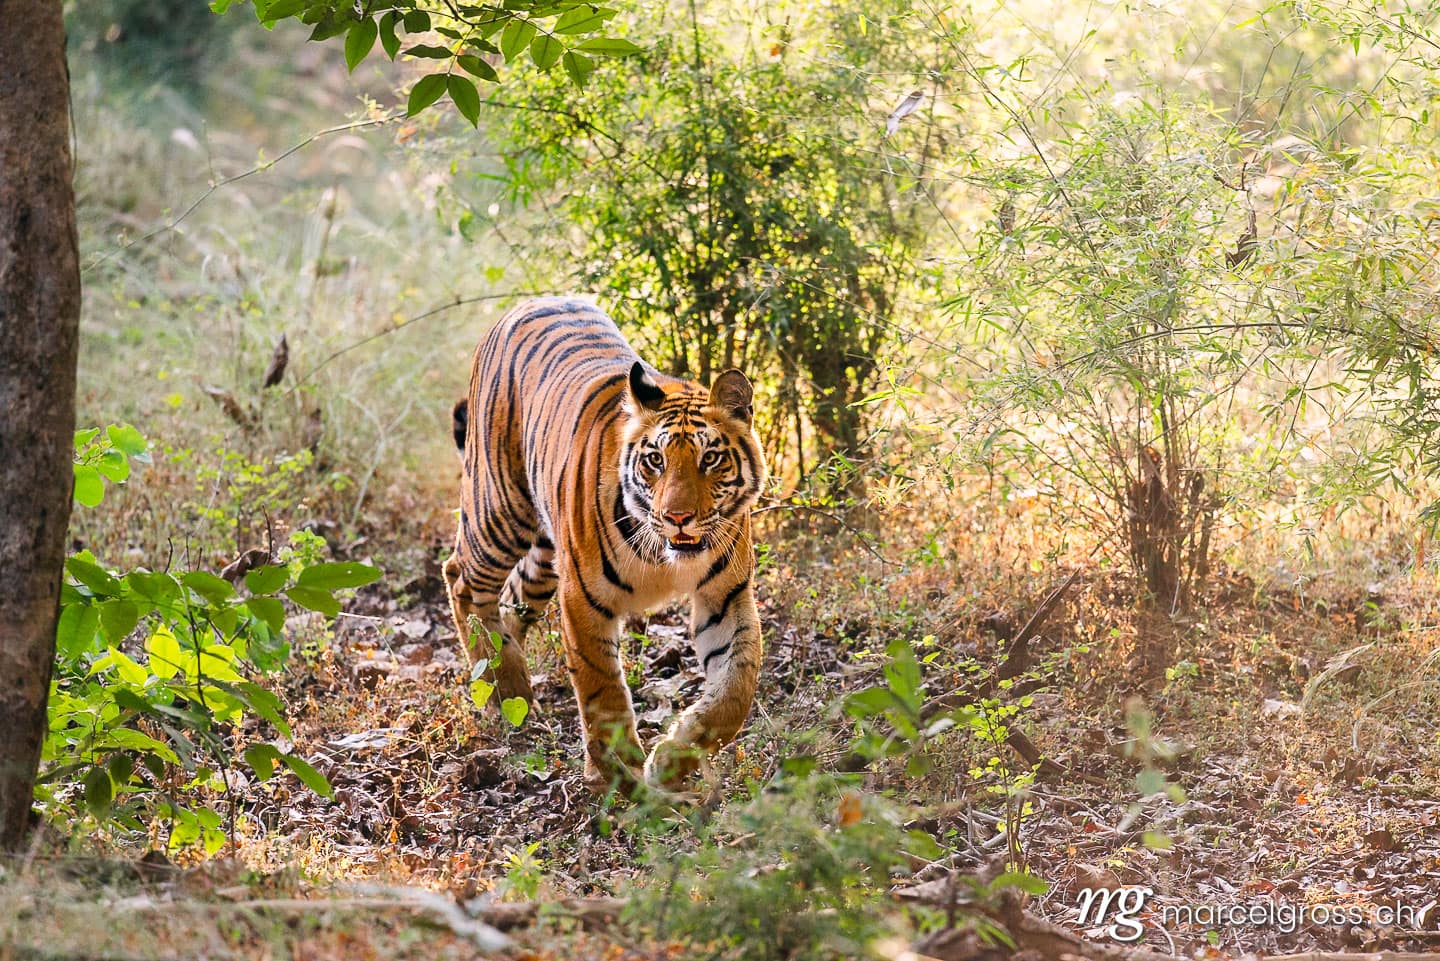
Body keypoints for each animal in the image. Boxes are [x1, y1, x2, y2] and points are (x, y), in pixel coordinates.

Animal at [444, 297, 767, 792]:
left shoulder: (725, 597)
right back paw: (503, 691)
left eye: (710, 458)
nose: (677, 517)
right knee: (462, 580)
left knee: (509, 604)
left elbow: (735, 688)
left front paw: (671, 761)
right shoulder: (583, 598)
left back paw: (515, 691)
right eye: (655, 460)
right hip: (498, 509)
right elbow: (603, 688)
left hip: (543, 558)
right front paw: (619, 772)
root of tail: (528, 301)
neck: (666, 558)